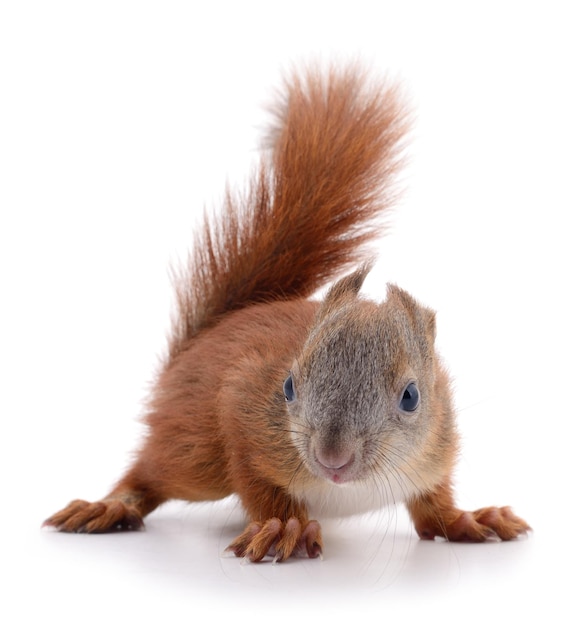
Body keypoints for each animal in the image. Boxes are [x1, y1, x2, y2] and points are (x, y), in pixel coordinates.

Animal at [43, 63, 532, 560]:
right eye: (289, 386)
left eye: (411, 396)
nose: (333, 458)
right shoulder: (243, 414)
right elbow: (258, 484)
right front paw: (283, 526)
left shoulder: (434, 454)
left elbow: (434, 509)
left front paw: (470, 519)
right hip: (196, 455)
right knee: (150, 473)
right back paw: (110, 505)